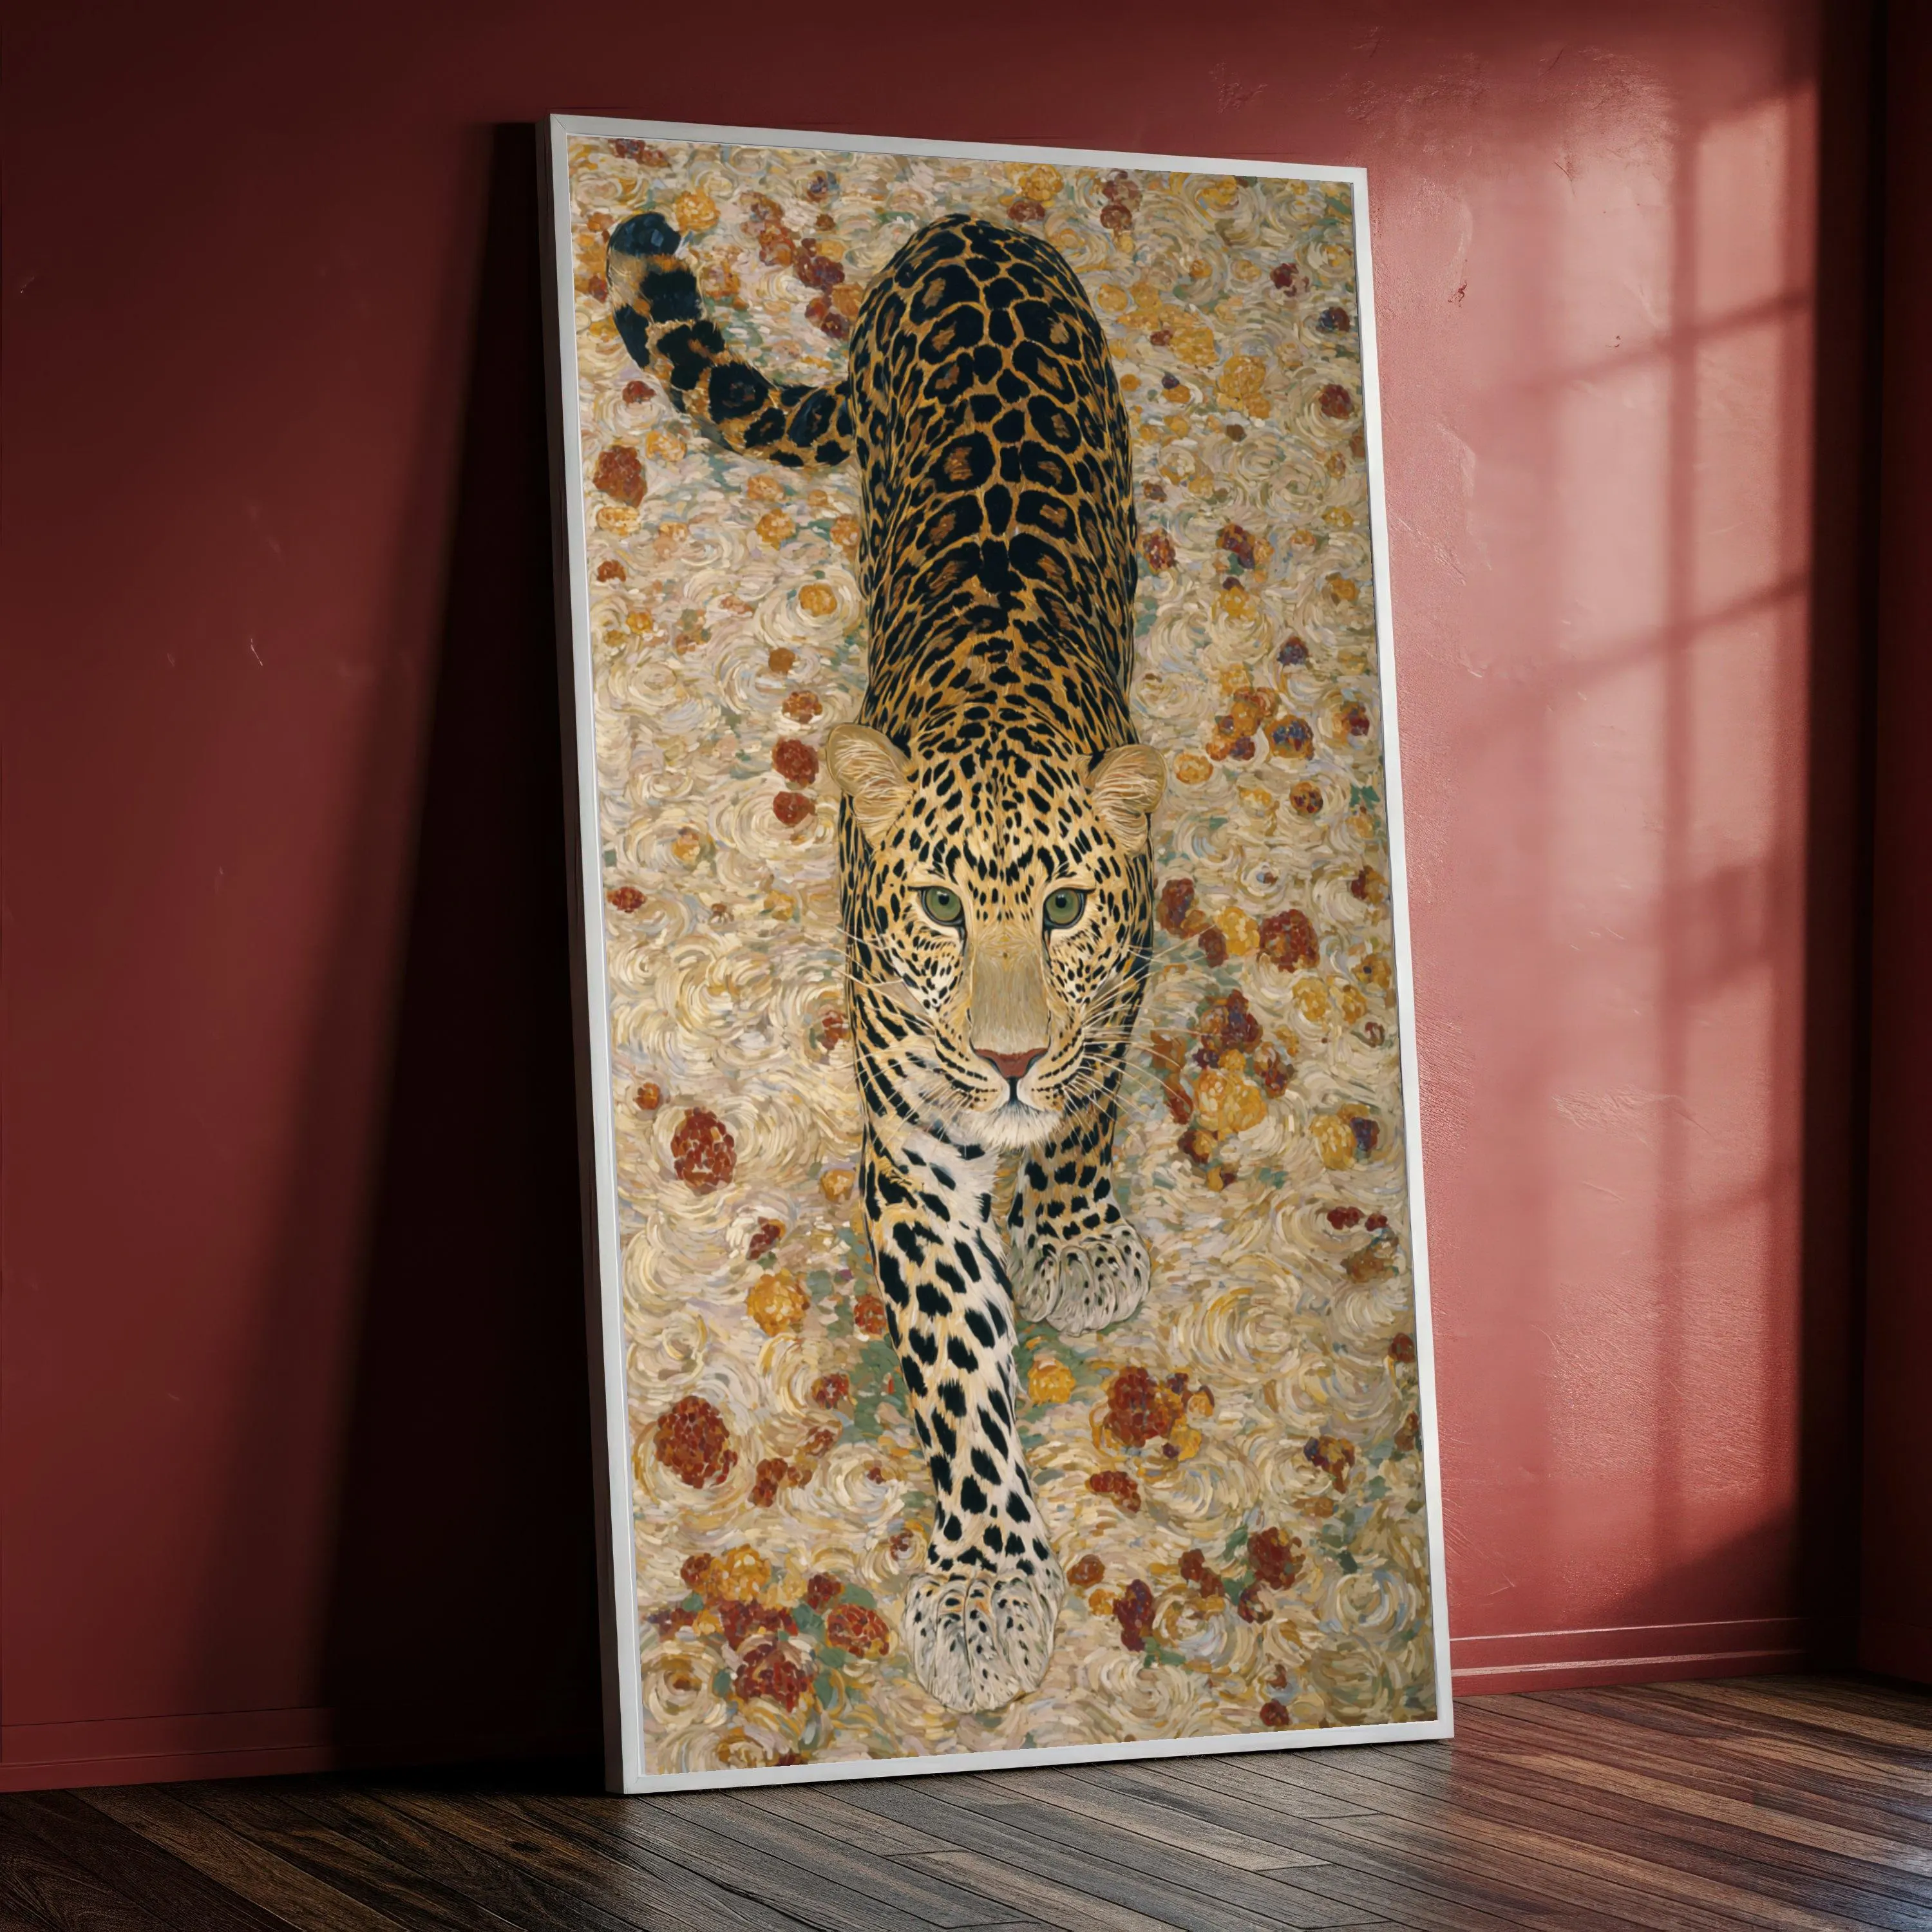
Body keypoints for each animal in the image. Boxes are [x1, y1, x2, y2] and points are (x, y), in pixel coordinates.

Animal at [607, 200, 1165, 1712]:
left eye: (1068, 912)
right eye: (934, 908)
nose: (1010, 1060)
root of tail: (966, 227)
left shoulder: (1119, 988)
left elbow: (1087, 1105)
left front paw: (1077, 1231)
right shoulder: (915, 1144)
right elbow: (960, 1368)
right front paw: (986, 1589)